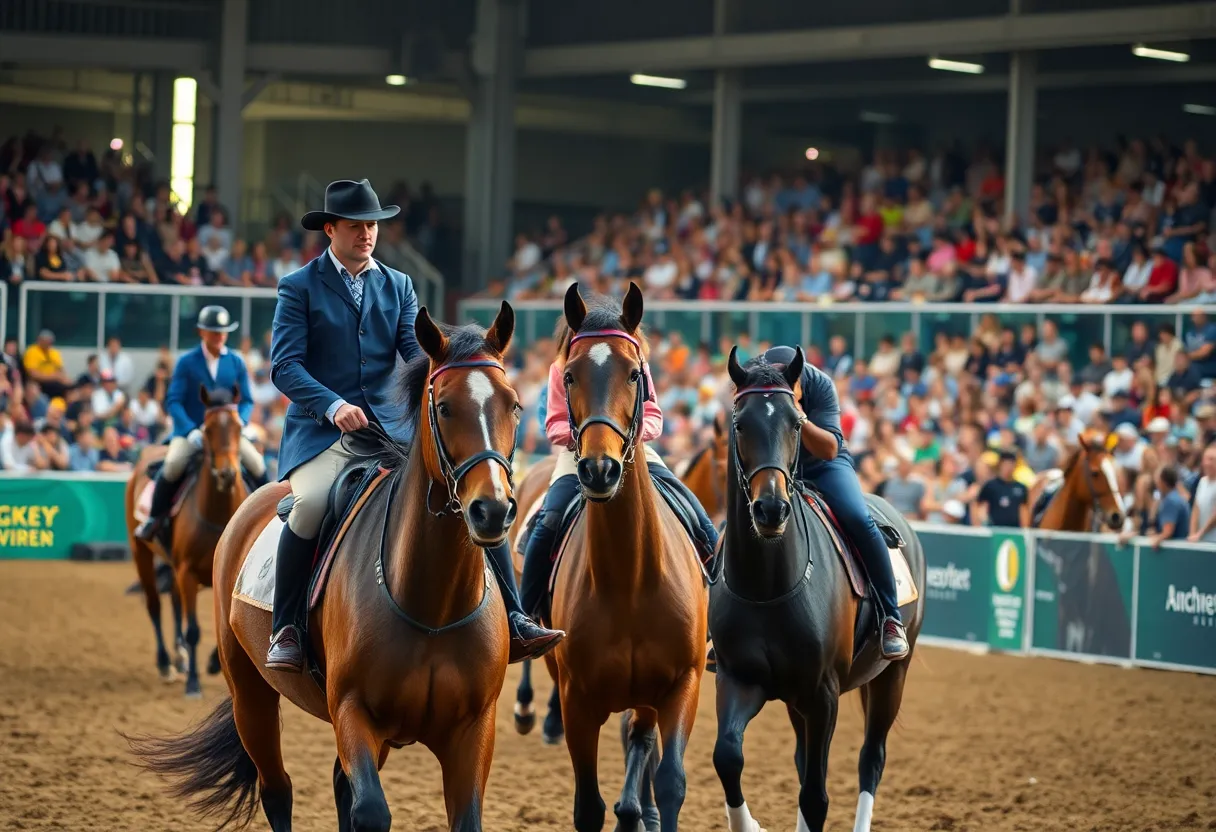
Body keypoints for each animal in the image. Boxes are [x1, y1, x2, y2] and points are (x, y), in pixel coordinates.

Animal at [125, 384, 248, 697]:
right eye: (207, 429)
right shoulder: (187, 572)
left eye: (239, 427)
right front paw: (193, 682)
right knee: (155, 605)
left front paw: (213, 663)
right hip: (141, 552)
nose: (227, 474)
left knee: (174, 601)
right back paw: (166, 663)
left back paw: (180, 658)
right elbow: (193, 630)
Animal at [545, 282, 707, 832]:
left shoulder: (681, 684)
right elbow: (587, 806)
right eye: (569, 375)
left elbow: (673, 778)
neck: (631, 579)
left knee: (641, 740)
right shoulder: (577, 699)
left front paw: (648, 808)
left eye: (636, 374)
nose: (599, 469)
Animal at [710, 347, 926, 832]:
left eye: (795, 424)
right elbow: (727, 758)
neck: (768, 586)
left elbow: (816, 795)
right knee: (800, 757)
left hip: (893, 676)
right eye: (740, 424)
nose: (770, 509)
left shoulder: (823, 695)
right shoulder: (738, 679)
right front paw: (749, 824)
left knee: (871, 758)